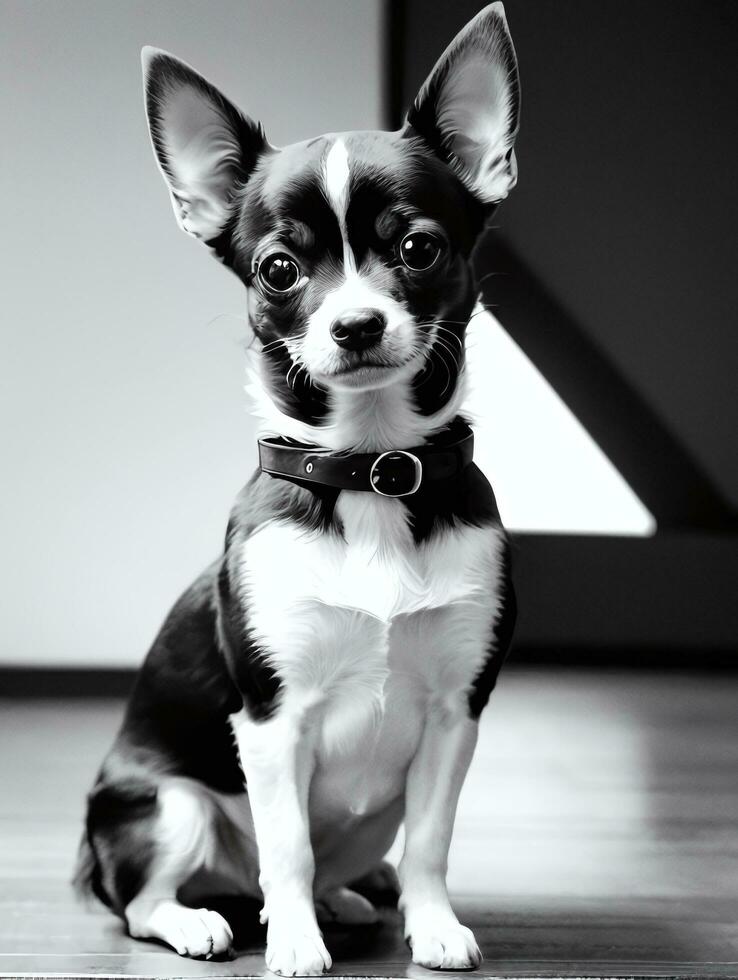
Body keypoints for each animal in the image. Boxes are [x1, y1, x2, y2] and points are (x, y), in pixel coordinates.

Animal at [75, 5, 520, 972]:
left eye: (419, 249)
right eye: (280, 269)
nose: (355, 323)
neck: (373, 471)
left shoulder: (454, 714)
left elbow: (430, 844)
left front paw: (433, 926)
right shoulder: (273, 721)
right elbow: (286, 845)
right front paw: (293, 949)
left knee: (345, 863)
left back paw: (348, 901)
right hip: (166, 807)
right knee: (149, 900)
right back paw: (209, 922)